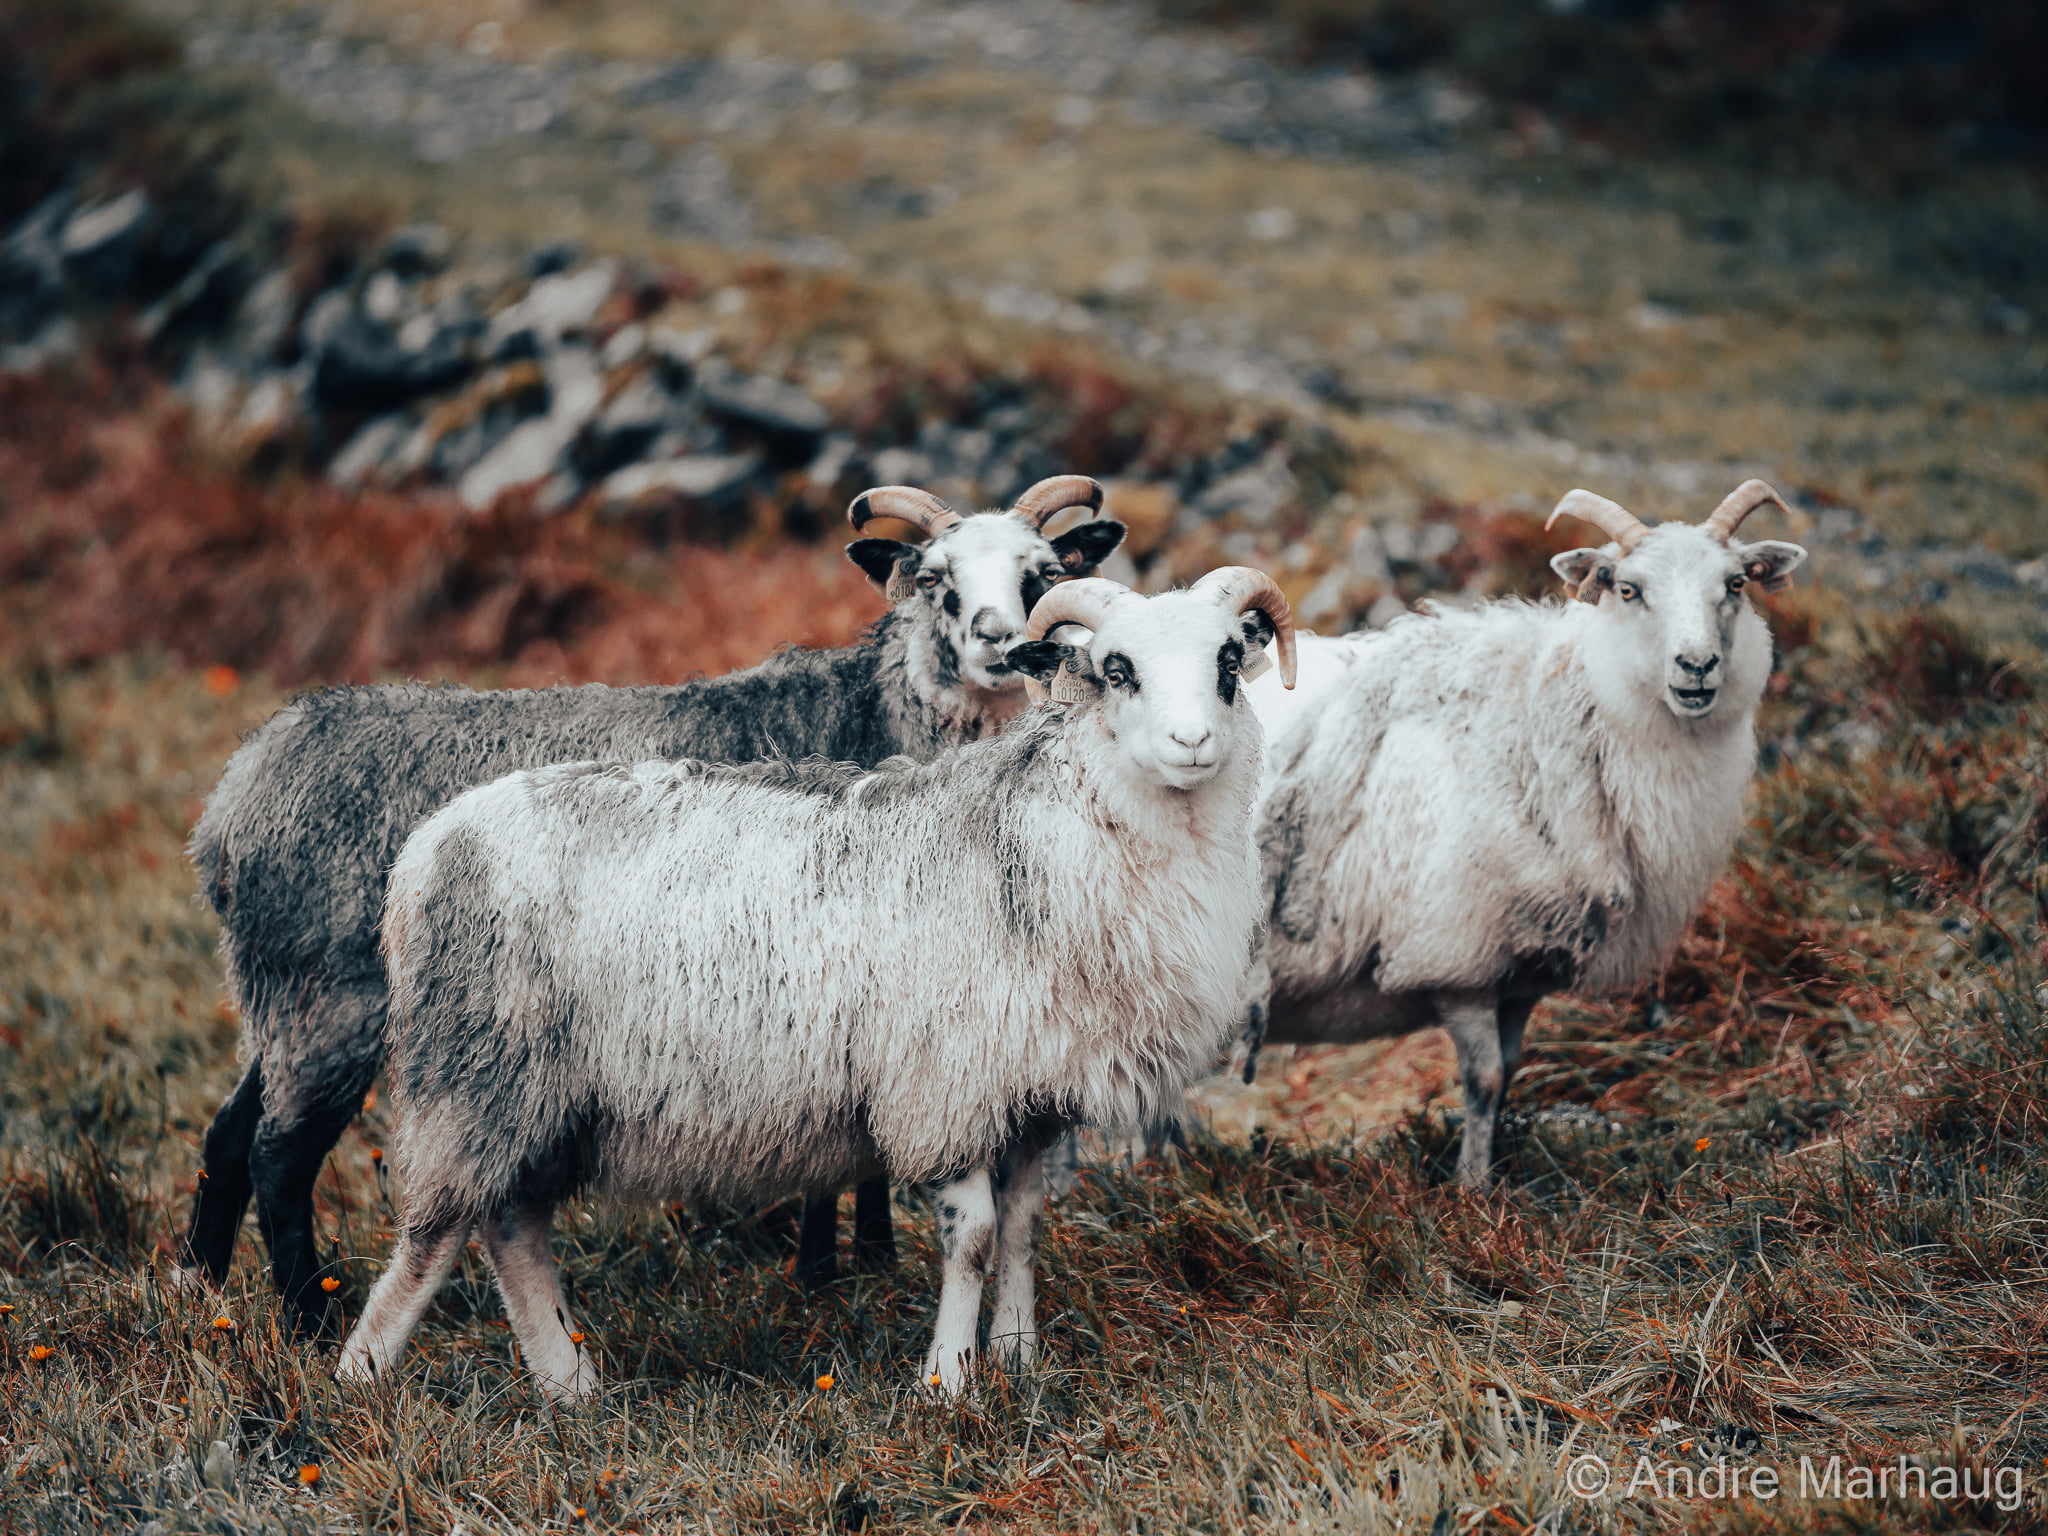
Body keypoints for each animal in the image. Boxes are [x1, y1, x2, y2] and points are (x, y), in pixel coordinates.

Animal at [182, 479, 1130, 1335]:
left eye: (1043, 574)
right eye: (936, 579)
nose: (997, 644)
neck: (883, 719)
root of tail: (236, 794)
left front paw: (870, 1261)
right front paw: (823, 1274)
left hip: (285, 993)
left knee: (232, 1130)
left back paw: (203, 1289)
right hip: (333, 995)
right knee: (280, 1153)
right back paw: (305, 1317)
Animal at [335, 569, 1294, 1409]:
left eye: (1228, 662)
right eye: (1116, 669)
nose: (1193, 745)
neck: (1036, 839)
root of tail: (426, 848)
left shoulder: (1031, 1090)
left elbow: (1024, 1226)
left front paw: (1018, 1359)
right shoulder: (939, 1084)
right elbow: (974, 1238)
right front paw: (949, 1383)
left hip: (553, 1092)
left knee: (511, 1227)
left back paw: (571, 1388)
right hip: (478, 1062)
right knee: (435, 1233)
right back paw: (361, 1382)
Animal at [1228, 481, 1810, 1187]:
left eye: (1735, 583)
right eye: (1627, 589)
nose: (1696, 666)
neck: (1541, 724)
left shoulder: (1523, 972)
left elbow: (1506, 1074)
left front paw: (1491, 1176)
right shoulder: (1458, 956)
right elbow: (1481, 1079)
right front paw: (1473, 1190)